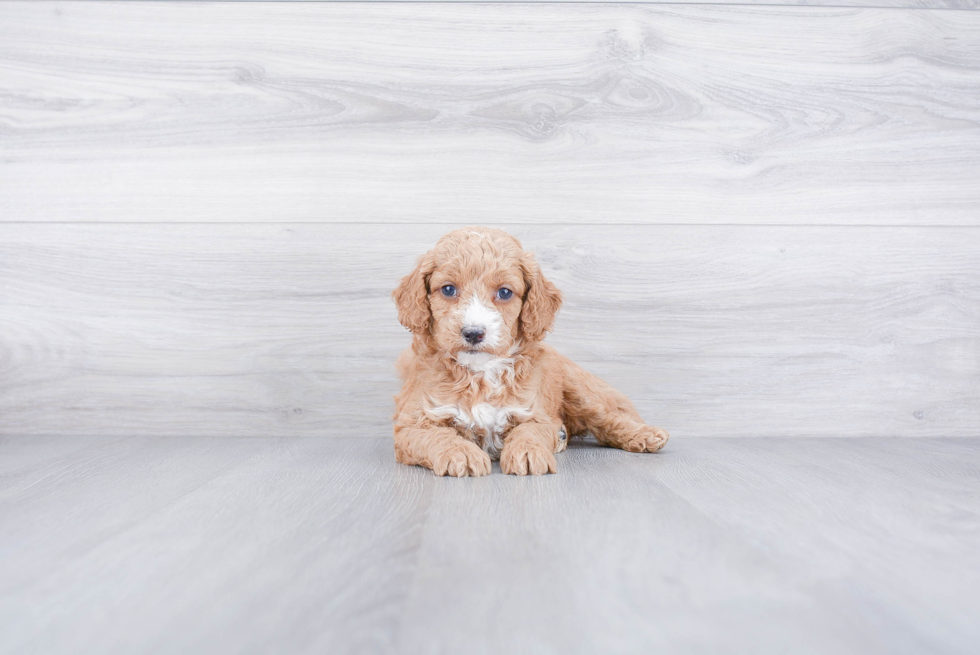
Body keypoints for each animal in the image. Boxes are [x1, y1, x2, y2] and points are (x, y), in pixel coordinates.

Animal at [390, 228, 668, 480]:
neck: (481, 372)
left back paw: (644, 435)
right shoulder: (413, 423)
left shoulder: (536, 413)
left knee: (608, 417)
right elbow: (437, 434)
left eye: (504, 292)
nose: (473, 333)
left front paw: (527, 452)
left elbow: (529, 432)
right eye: (448, 289)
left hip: (581, 389)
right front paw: (461, 453)